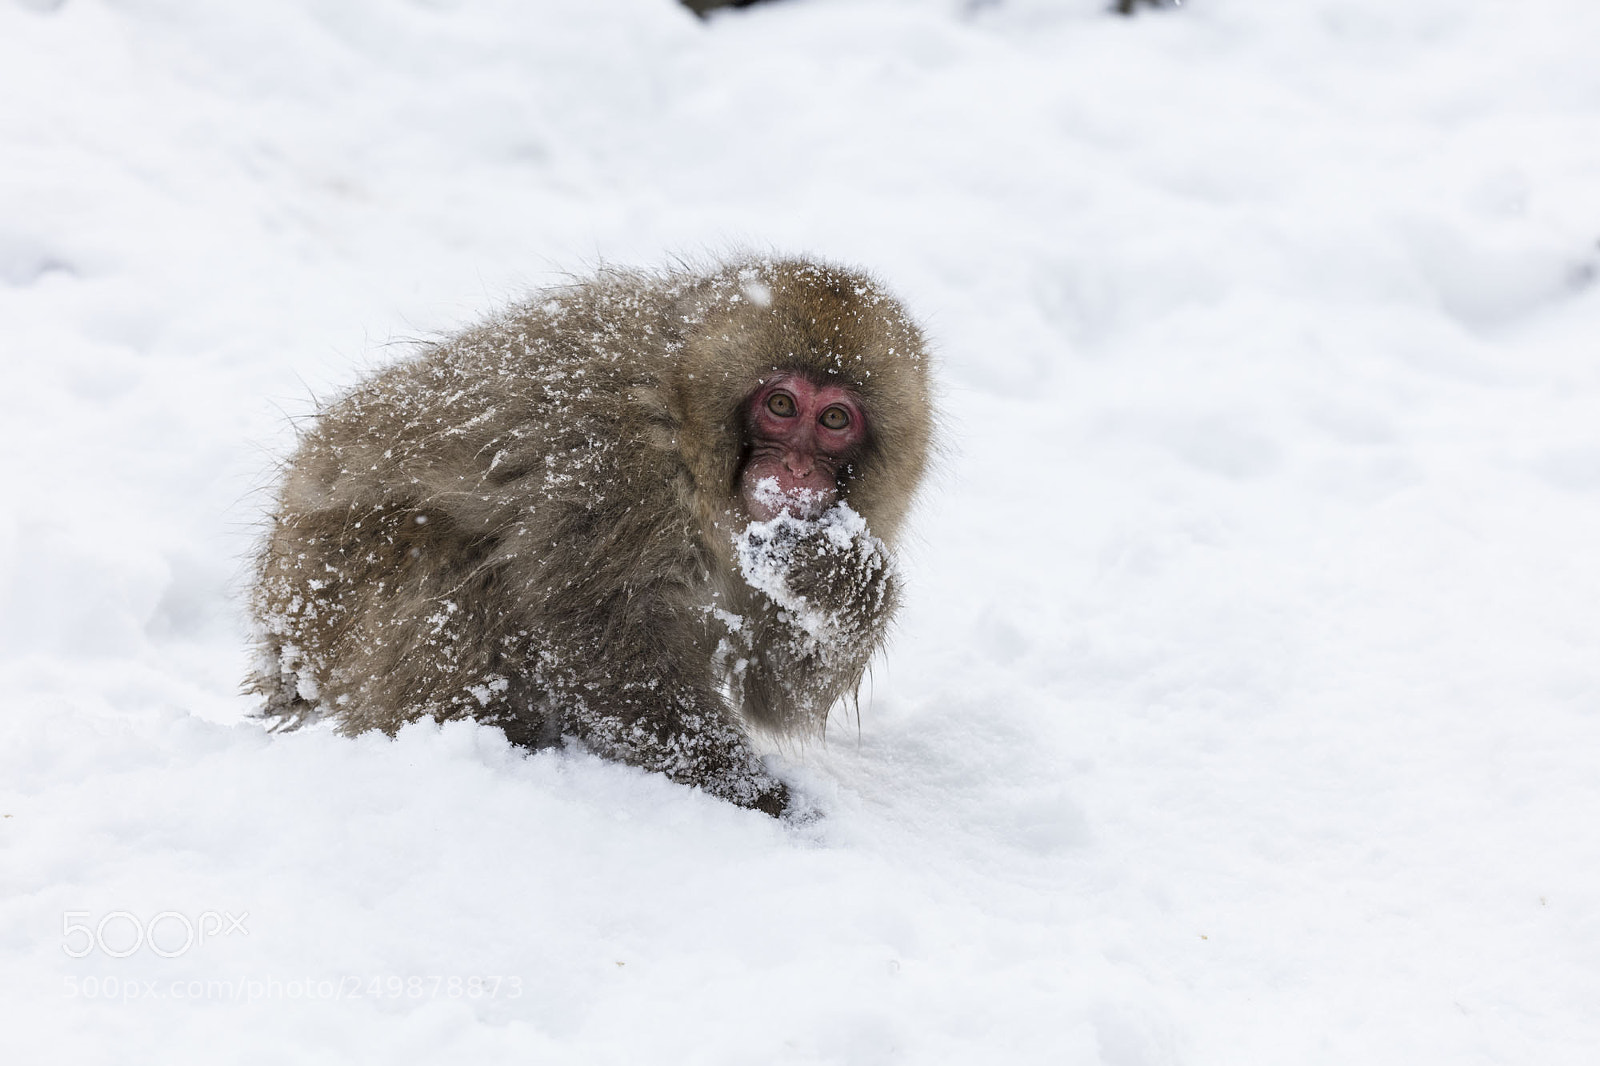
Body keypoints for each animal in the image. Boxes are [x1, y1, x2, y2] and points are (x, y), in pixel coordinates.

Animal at [248, 257, 934, 816]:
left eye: (836, 419)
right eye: (783, 406)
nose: (795, 469)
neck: (682, 428)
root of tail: (281, 647)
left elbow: (775, 689)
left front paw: (838, 576)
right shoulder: (611, 470)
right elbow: (597, 639)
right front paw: (748, 791)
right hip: (337, 595)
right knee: (457, 578)